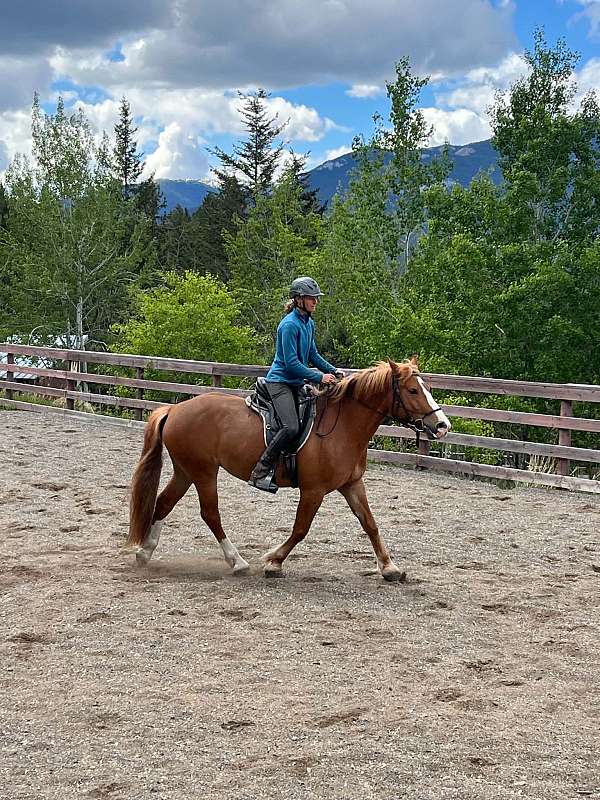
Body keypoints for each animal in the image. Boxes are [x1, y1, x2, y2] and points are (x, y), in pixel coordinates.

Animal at [127, 357, 451, 581]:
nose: (442, 426)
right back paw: (237, 562)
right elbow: (300, 529)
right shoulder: (313, 490)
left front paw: (390, 568)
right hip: (204, 472)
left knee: (164, 503)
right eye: (413, 390)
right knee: (210, 514)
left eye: (427, 388)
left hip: (186, 470)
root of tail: (175, 409)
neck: (343, 427)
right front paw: (273, 560)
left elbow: (370, 524)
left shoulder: (352, 484)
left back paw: (145, 552)